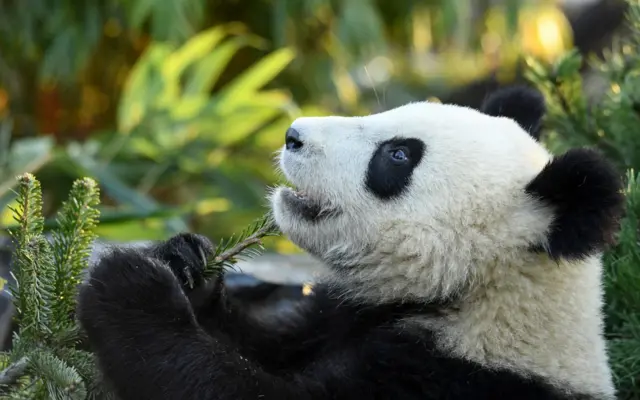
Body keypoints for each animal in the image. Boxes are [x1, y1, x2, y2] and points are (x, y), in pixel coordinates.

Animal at [76, 86, 624, 398]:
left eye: (398, 155)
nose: (293, 134)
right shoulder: (339, 316)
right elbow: (263, 343)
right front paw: (186, 263)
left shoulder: (448, 381)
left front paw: (130, 289)